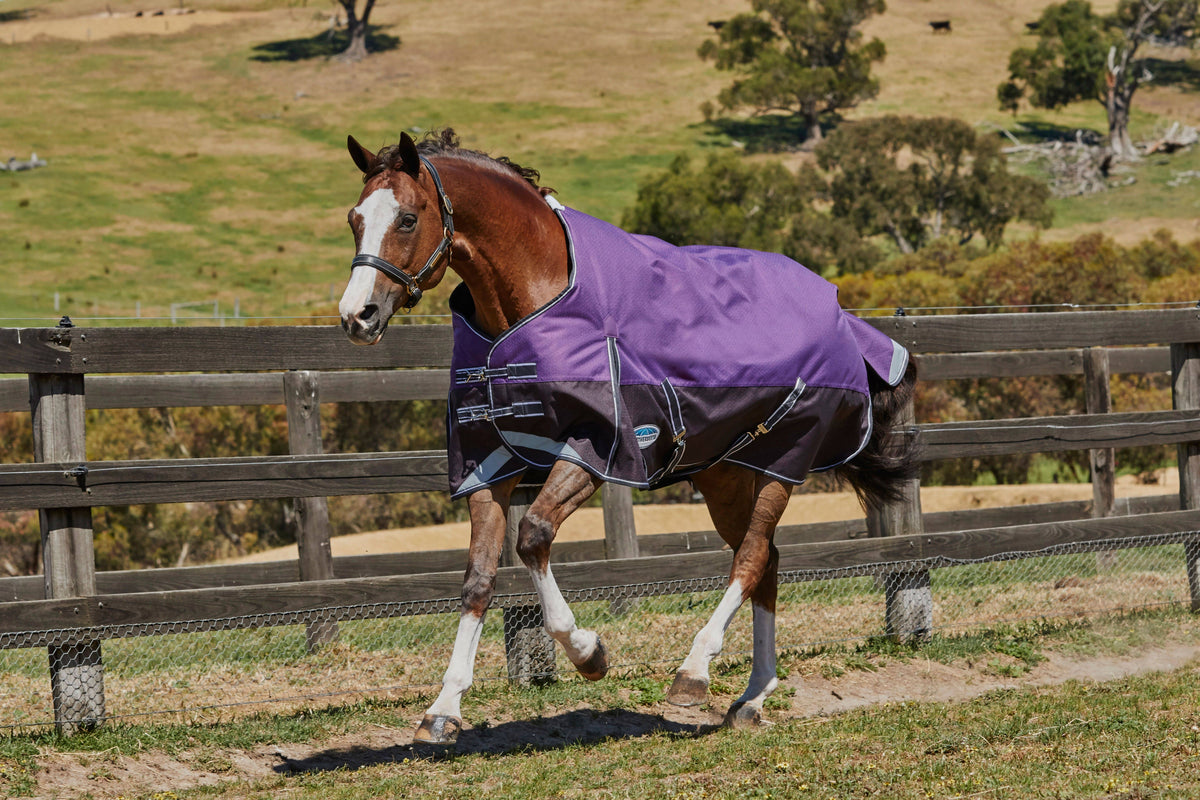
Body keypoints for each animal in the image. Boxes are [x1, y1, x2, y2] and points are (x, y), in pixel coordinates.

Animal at [338, 129, 918, 746]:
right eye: (354, 218)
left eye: (406, 218)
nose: (357, 316)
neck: (536, 295)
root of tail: (839, 311)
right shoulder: (489, 461)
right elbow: (478, 578)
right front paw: (443, 708)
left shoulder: (596, 448)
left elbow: (534, 537)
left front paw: (589, 653)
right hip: (724, 474)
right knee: (768, 562)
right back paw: (752, 696)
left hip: (783, 459)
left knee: (752, 556)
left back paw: (694, 672)